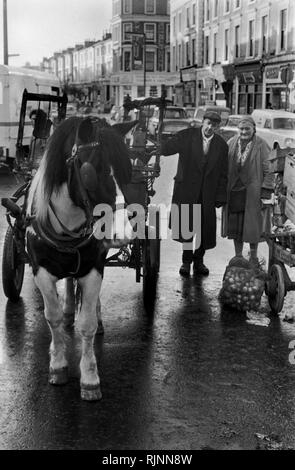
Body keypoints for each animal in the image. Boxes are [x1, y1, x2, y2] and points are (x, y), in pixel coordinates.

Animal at [25, 114, 134, 400]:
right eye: (92, 171)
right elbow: (51, 317)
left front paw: (90, 377)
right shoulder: (40, 271)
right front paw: (58, 364)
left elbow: (86, 325)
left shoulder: (93, 268)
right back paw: (68, 310)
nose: (123, 231)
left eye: (128, 171)